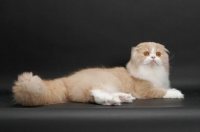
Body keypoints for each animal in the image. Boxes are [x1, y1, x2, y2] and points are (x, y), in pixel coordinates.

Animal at [12, 41, 184, 105]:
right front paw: (176, 93)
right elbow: (162, 91)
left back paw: (122, 98)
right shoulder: (145, 90)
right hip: (98, 84)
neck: (153, 74)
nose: (154, 57)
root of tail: (66, 79)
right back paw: (116, 100)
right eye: (147, 53)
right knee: (96, 95)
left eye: (159, 54)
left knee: (96, 97)